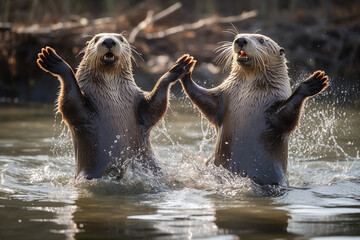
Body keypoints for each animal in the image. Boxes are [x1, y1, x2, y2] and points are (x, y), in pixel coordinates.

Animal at [36, 33, 194, 180]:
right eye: (96, 39)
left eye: (121, 38)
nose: (108, 40)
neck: (113, 95)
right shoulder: (82, 110)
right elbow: (69, 103)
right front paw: (57, 62)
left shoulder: (139, 103)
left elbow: (156, 107)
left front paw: (177, 68)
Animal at [180, 32, 330, 186]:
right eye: (237, 36)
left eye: (261, 40)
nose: (241, 40)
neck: (248, 94)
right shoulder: (223, 96)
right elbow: (206, 102)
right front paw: (184, 69)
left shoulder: (275, 108)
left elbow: (288, 119)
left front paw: (311, 84)